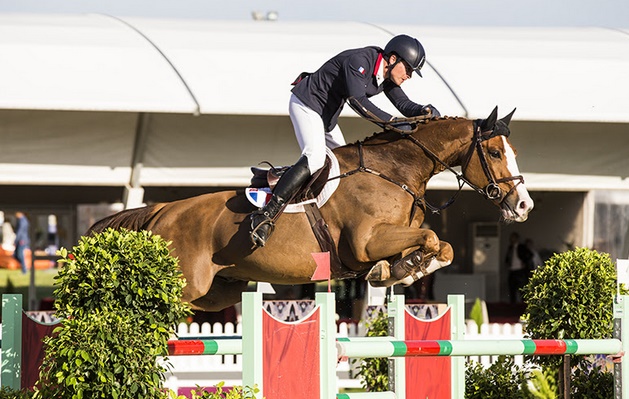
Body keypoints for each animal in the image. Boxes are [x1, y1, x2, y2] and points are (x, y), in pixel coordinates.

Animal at [87, 108, 528, 314]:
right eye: (493, 152)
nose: (524, 205)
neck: (394, 170)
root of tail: (162, 210)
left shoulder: (393, 238)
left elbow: (441, 246)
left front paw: (398, 271)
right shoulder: (365, 243)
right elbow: (433, 238)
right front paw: (396, 271)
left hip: (217, 291)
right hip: (182, 285)